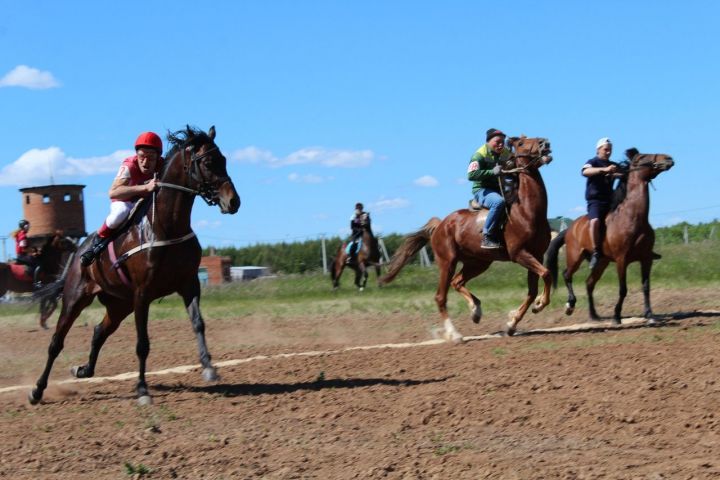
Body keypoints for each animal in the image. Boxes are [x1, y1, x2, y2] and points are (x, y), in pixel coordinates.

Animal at [28, 126, 242, 404]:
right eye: (207, 163)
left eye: (224, 160)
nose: (233, 201)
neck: (166, 226)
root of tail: (76, 255)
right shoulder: (143, 293)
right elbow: (142, 343)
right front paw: (142, 389)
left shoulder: (189, 284)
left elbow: (198, 323)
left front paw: (208, 368)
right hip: (76, 298)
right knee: (56, 342)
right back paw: (37, 390)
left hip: (119, 305)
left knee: (99, 331)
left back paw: (83, 369)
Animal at [380, 135, 556, 338]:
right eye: (520, 143)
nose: (545, 143)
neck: (527, 212)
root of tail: (441, 224)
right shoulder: (519, 254)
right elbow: (546, 273)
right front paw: (539, 305)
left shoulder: (536, 255)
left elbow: (533, 289)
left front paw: (513, 322)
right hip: (447, 262)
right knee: (440, 296)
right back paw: (454, 333)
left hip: (478, 263)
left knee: (457, 282)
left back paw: (475, 310)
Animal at [544, 148, 676, 324]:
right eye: (642, 157)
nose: (669, 158)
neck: (633, 218)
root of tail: (570, 229)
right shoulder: (621, 260)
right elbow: (623, 289)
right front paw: (616, 316)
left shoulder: (646, 259)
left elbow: (646, 287)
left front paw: (649, 315)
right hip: (575, 257)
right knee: (567, 275)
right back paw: (570, 305)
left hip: (602, 262)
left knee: (589, 283)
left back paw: (594, 315)